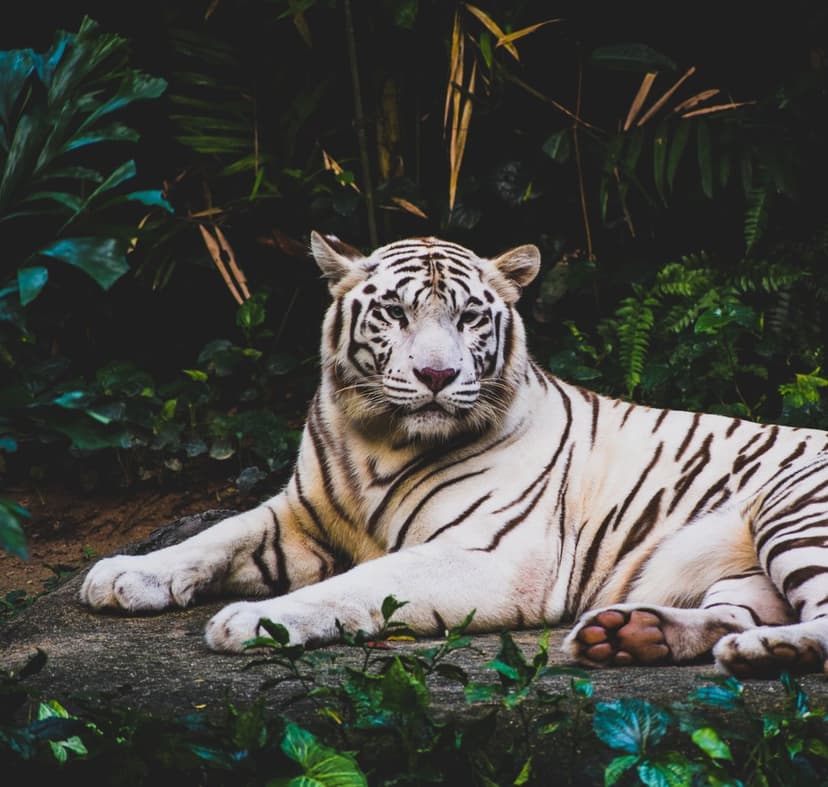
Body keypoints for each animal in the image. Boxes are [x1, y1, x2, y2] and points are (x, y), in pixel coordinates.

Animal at [80, 232, 828, 677]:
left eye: (469, 317)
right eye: (395, 313)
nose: (437, 375)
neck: (377, 439)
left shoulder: (492, 555)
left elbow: (358, 584)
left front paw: (252, 621)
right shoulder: (300, 514)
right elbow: (217, 534)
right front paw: (122, 575)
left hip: (793, 508)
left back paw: (764, 650)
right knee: (734, 610)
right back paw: (631, 635)